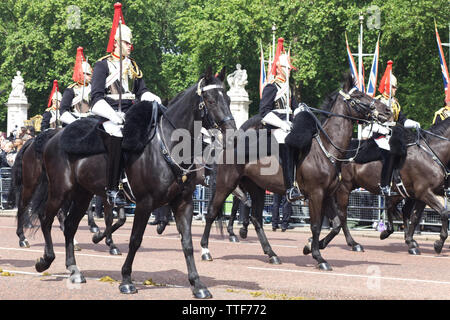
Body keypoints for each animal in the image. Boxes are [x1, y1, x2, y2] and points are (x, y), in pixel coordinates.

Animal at [31, 67, 236, 298]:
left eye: (228, 98)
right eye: (210, 100)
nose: (232, 131)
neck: (167, 145)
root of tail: (53, 138)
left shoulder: (183, 202)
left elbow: (187, 243)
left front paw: (198, 284)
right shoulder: (144, 203)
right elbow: (135, 240)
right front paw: (126, 280)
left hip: (83, 194)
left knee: (70, 225)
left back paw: (74, 270)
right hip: (60, 190)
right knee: (46, 218)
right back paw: (45, 260)